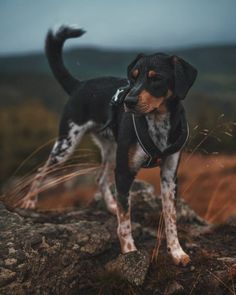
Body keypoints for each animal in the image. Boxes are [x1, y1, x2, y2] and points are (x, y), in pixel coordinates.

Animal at [19, 24, 197, 266]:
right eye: (133, 78)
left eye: (156, 78)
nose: (128, 102)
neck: (158, 122)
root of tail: (80, 84)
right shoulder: (124, 172)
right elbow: (125, 222)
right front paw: (129, 251)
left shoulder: (169, 174)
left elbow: (170, 217)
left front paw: (176, 251)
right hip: (66, 144)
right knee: (41, 170)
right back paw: (30, 201)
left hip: (111, 149)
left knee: (99, 177)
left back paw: (111, 204)